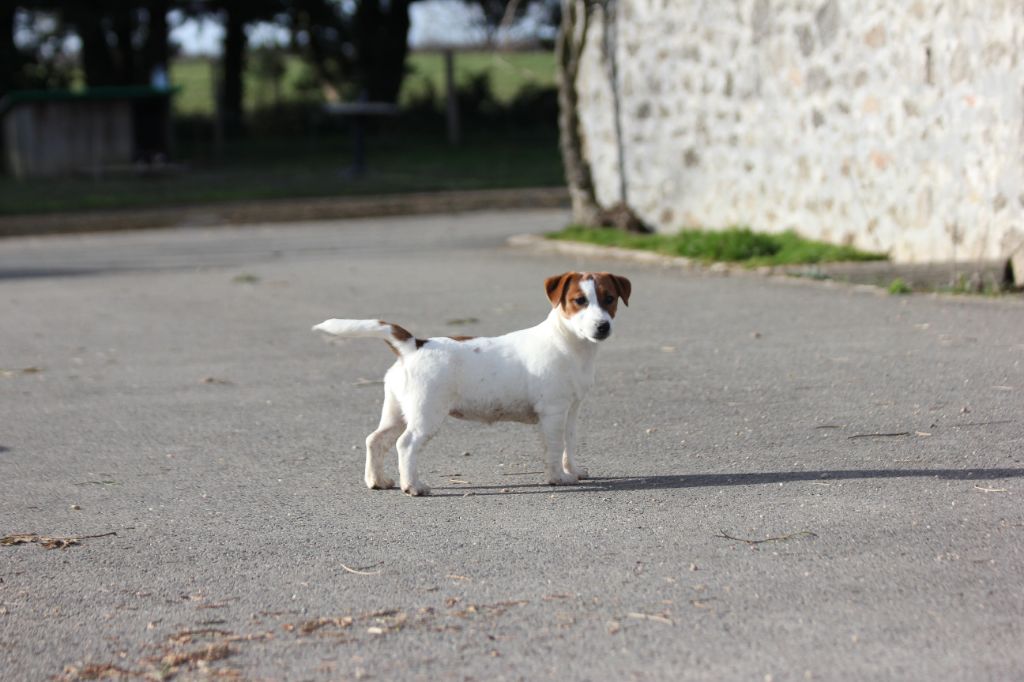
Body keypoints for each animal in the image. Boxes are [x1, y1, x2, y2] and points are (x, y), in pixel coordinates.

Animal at [311, 270, 630, 493]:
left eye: (609, 299)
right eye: (579, 301)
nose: (602, 326)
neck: (569, 344)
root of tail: (413, 345)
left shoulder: (571, 410)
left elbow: (569, 443)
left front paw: (573, 471)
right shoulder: (552, 413)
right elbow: (553, 449)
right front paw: (558, 478)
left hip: (396, 412)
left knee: (376, 440)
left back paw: (377, 480)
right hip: (426, 414)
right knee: (405, 445)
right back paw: (413, 486)